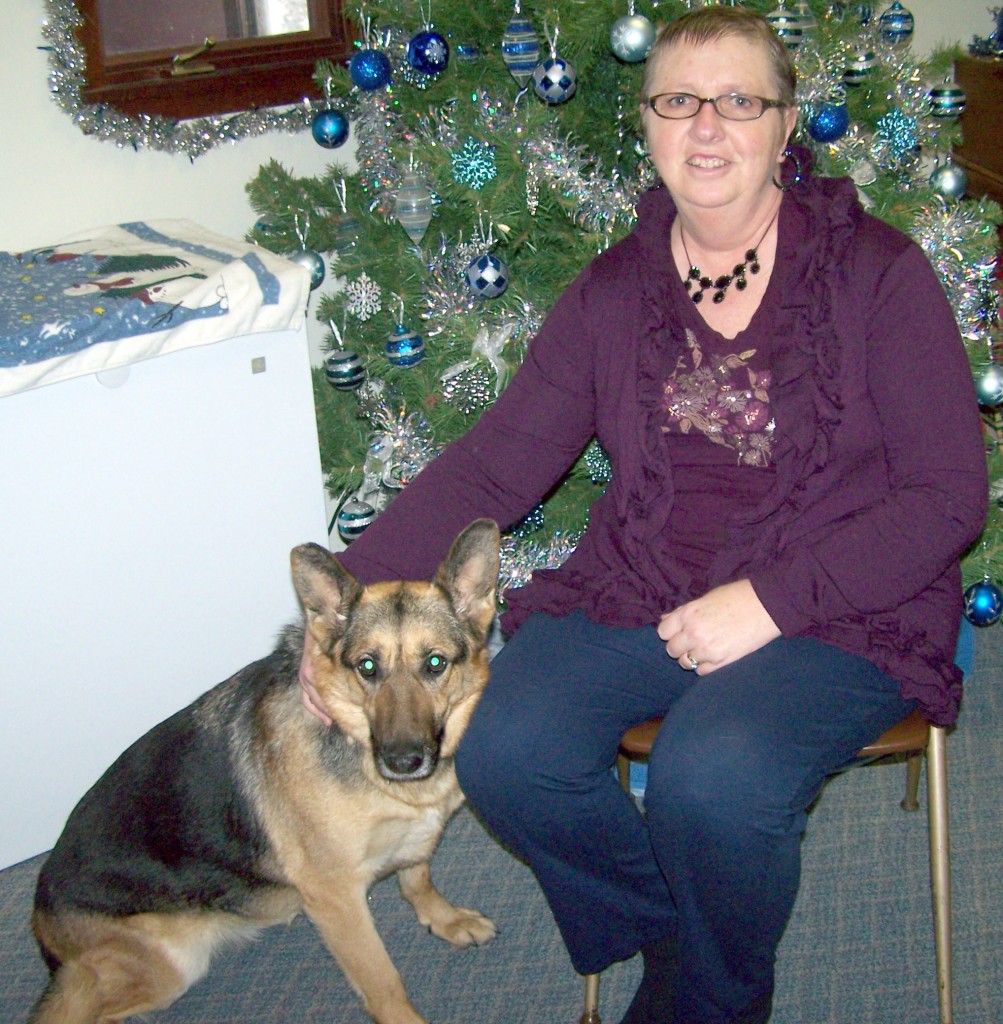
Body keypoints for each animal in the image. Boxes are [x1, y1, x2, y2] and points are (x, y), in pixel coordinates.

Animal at [31, 520, 502, 1024]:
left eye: (435, 663)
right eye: (367, 666)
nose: (403, 760)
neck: (352, 739)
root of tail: (41, 913)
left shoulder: (415, 841)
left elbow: (418, 879)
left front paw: (444, 917)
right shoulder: (337, 900)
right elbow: (384, 982)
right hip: (170, 965)